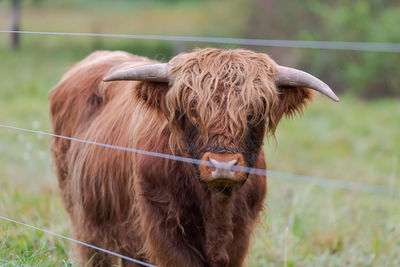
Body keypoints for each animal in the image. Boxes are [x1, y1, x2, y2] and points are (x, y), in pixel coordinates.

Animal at [49, 48, 338, 267]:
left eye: (254, 113)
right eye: (190, 112)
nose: (223, 165)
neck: (216, 205)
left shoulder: (240, 235)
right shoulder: (161, 229)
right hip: (89, 222)